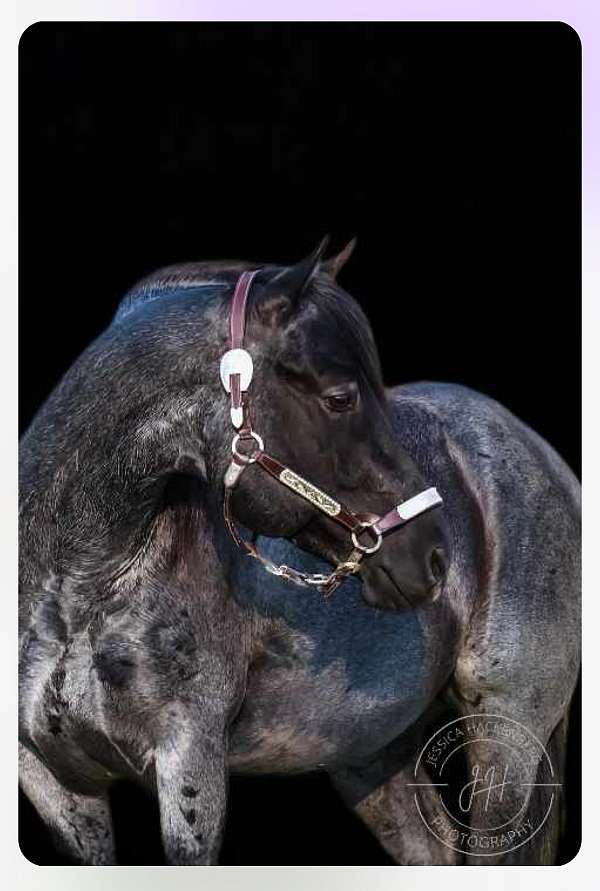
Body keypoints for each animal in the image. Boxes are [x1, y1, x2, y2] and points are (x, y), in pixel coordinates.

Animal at [19, 242, 580, 865]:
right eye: (341, 397)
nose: (434, 556)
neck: (80, 593)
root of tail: (540, 454)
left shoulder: (189, 763)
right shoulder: (53, 783)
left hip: (504, 739)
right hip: (371, 754)